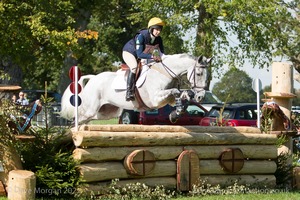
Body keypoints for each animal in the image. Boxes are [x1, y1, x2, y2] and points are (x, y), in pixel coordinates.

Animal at [60, 53, 211, 123]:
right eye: (199, 73)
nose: (200, 96)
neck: (165, 72)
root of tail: (93, 78)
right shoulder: (155, 99)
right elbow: (175, 92)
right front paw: (175, 114)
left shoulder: (168, 99)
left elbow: (183, 95)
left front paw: (175, 114)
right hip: (90, 109)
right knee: (77, 118)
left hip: (104, 112)